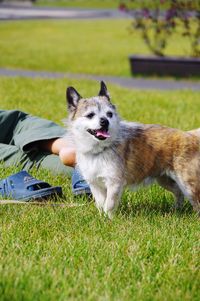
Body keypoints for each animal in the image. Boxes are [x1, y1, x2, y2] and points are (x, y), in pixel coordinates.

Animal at [66, 81, 200, 218]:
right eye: (90, 115)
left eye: (109, 114)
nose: (105, 121)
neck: (100, 149)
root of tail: (190, 136)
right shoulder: (95, 185)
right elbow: (101, 203)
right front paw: (101, 218)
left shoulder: (114, 184)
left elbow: (109, 204)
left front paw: (109, 219)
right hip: (164, 179)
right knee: (178, 192)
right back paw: (176, 210)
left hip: (188, 185)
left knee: (195, 201)